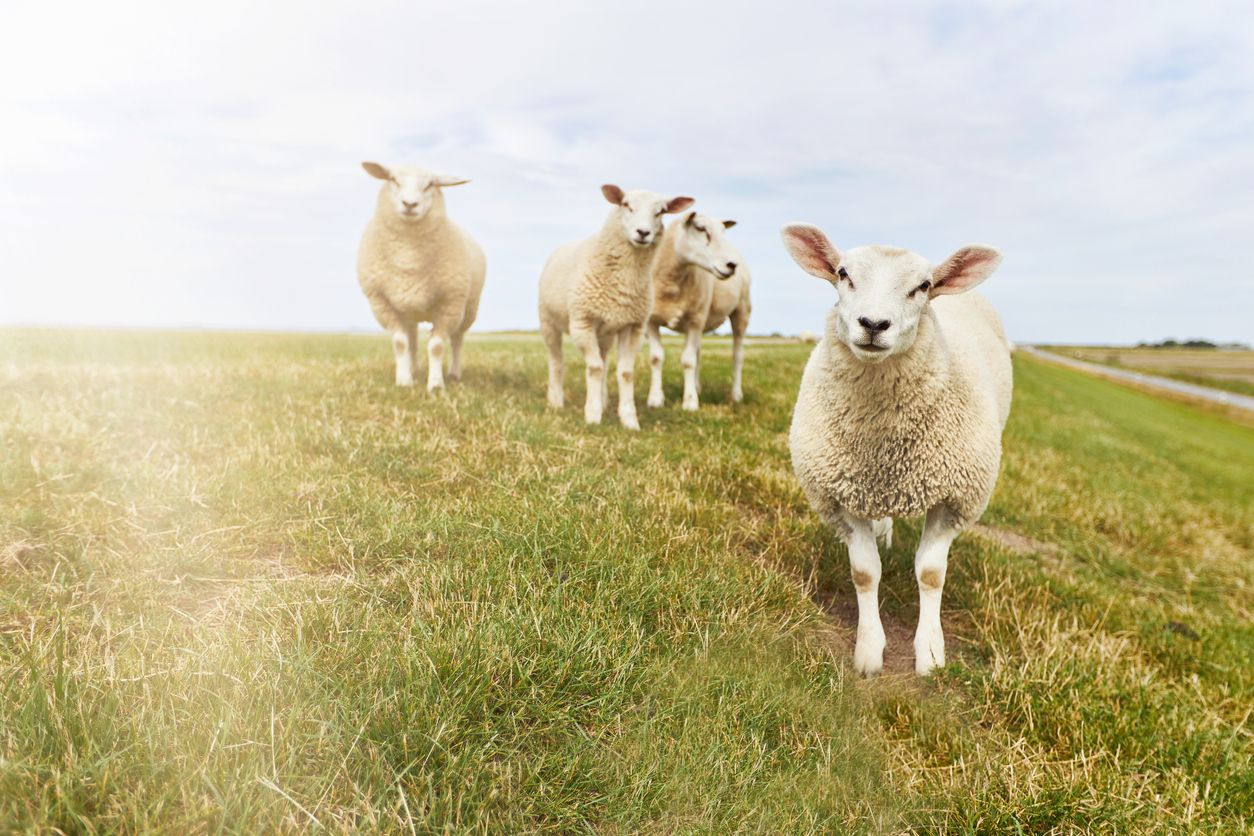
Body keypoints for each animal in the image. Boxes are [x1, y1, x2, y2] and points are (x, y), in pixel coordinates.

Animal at [356, 162, 486, 392]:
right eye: (393, 179)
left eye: (430, 185)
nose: (410, 204)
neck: (408, 258)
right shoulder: (382, 303)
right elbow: (401, 343)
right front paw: (404, 381)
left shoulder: (449, 305)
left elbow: (436, 346)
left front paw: (435, 386)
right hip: (409, 310)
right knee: (413, 339)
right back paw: (413, 369)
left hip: (468, 309)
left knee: (457, 340)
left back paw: (454, 373)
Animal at [538, 185, 694, 429]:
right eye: (626, 205)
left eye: (660, 212)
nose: (643, 232)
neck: (624, 280)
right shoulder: (583, 322)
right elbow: (594, 369)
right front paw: (592, 416)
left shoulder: (633, 326)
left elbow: (625, 372)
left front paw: (629, 419)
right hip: (548, 321)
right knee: (556, 361)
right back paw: (556, 401)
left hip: (605, 333)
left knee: (603, 359)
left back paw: (602, 400)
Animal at [645, 212, 752, 411]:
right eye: (701, 229)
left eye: (724, 232)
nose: (732, 264)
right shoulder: (651, 321)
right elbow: (656, 358)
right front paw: (655, 399)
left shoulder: (696, 319)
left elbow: (688, 361)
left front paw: (690, 402)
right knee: (698, 352)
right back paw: (697, 387)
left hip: (742, 310)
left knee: (737, 355)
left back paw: (736, 395)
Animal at [780, 223, 1010, 677]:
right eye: (843, 273)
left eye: (923, 286)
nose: (873, 323)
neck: (885, 444)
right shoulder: (840, 493)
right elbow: (865, 573)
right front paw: (869, 652)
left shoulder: (954, 498)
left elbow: (931, 574)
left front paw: (931, 653)